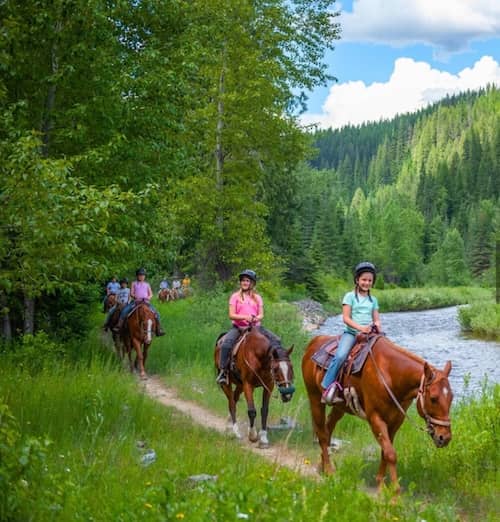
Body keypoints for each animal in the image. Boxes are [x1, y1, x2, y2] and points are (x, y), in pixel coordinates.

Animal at [300, 332, 454, 490]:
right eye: (434, 398)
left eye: (451, 397)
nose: (445, 437)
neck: (391, 374)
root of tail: (314, 342)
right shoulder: (375, 418)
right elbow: (390, 453)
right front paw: (394, 491)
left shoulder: (396, 420)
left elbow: (385, 451)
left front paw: (380, 482)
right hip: (314, 397)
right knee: (322, 434)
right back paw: (329, 471)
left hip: (340, 407)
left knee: (328, 429)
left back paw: (323, 466)